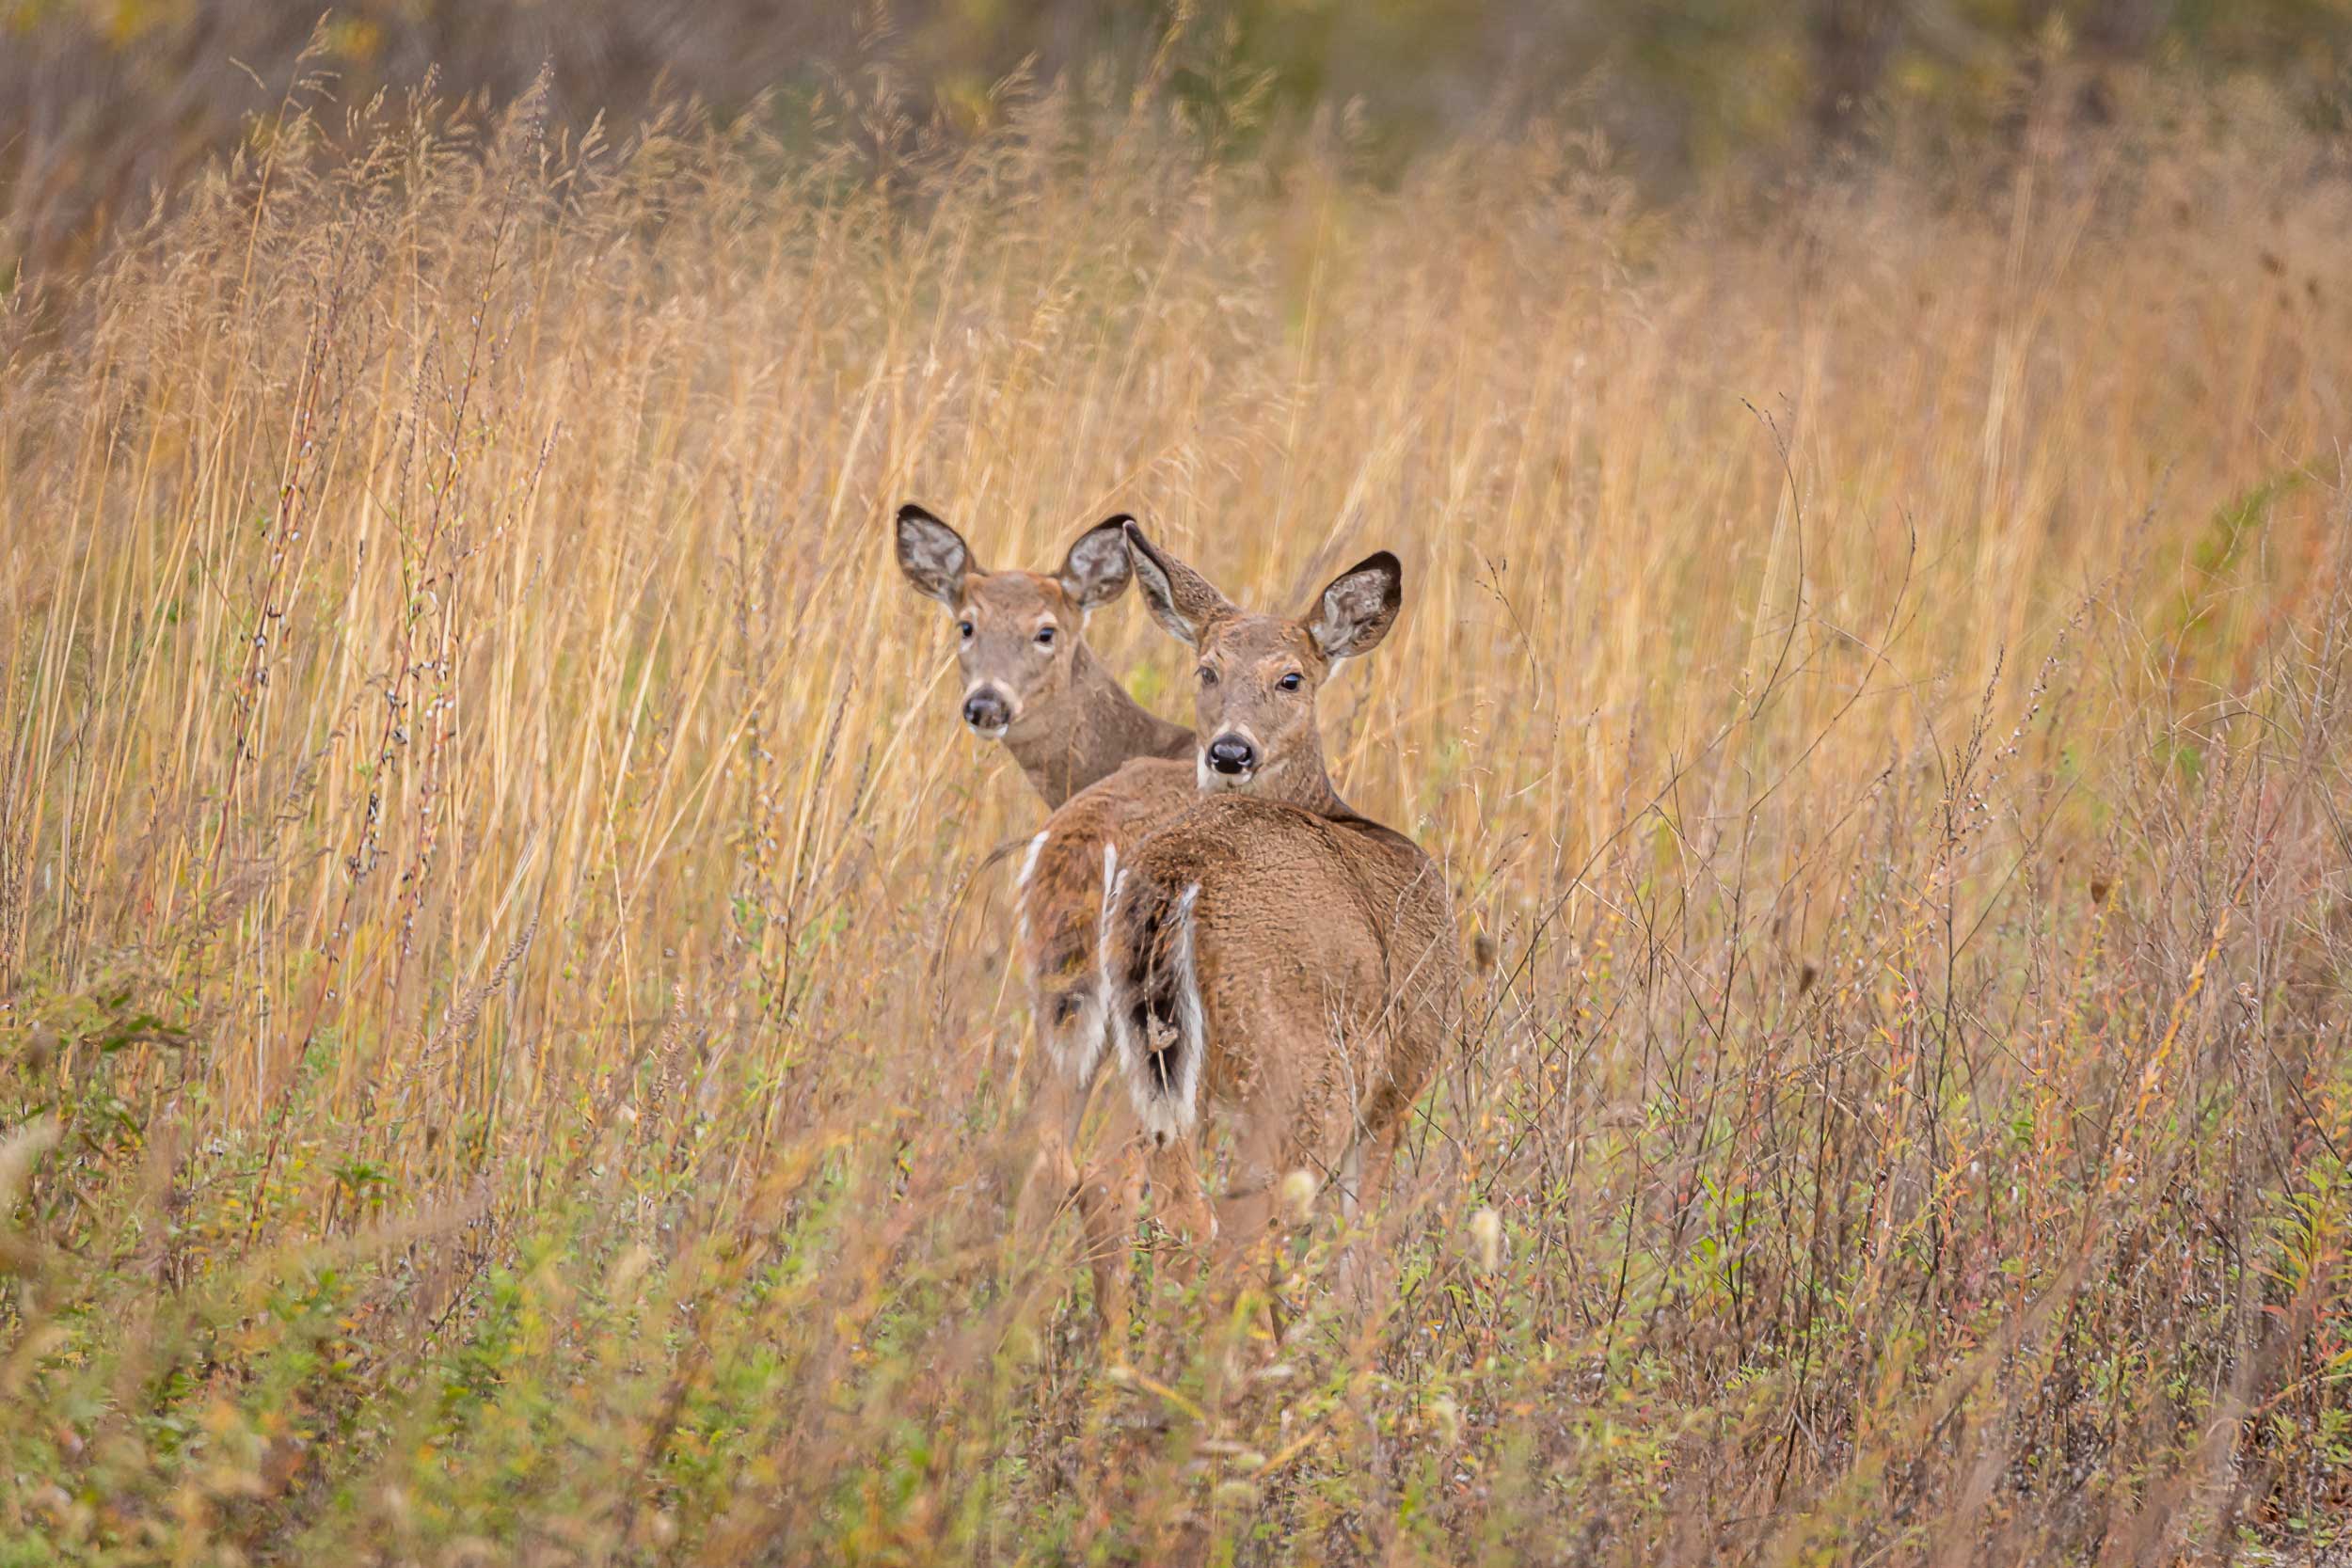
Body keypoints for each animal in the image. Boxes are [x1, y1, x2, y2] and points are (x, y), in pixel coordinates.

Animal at [1093, 522, 1461, 1302]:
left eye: (1290, 678)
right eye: (1206, 670)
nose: (1231, 750)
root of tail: (1177, 875)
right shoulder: (1402, 1078)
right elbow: (1363, 1250)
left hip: (1123, 1065)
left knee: (1116, 1193)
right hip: (1297, 1074)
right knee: (1236, 1235)